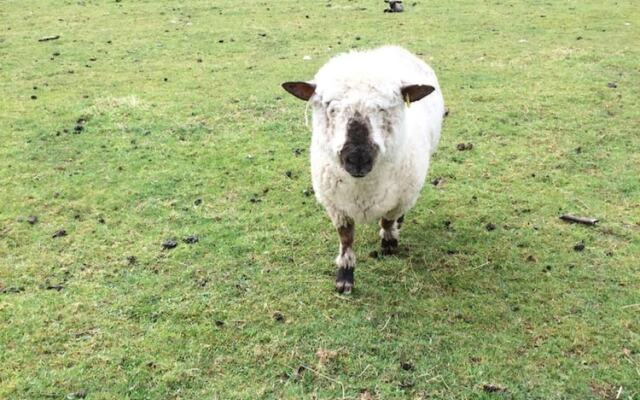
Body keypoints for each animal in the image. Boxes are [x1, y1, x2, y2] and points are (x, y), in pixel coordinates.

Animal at [282, 45, 442, 294]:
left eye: (383, 108)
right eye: (331, 107)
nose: (358, 158)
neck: (363, 186)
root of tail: (390, 47)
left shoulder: (402, 198)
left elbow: (387, 220)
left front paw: (389, 243)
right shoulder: (336, 205)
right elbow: (346, 239)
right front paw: (344, 278)